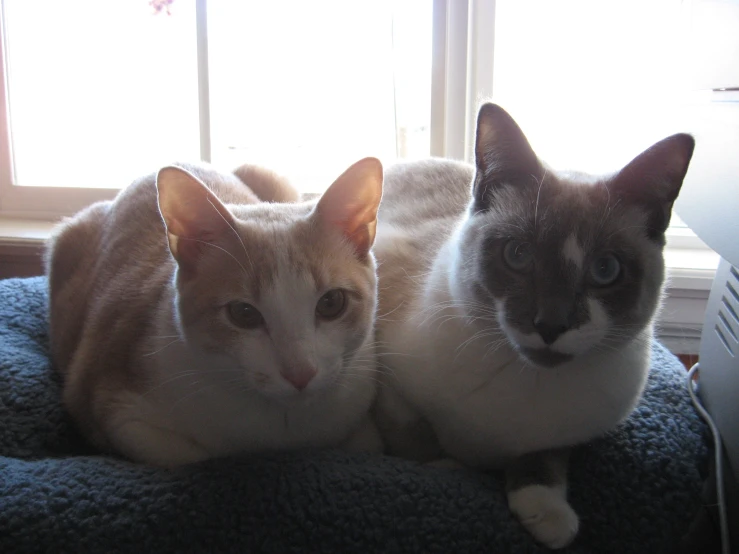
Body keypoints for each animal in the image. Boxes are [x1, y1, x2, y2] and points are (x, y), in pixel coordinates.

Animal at [45, 157, 384, 464]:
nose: (300, 373)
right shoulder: (107, 402)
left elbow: (365, 441)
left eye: (331, 303)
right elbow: (194, 456)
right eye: (243, 313)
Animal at [376, 103, 692, 548]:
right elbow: (416, 442)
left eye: (605, 270)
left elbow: (543, 458)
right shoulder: (391, 385)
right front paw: (447, 468)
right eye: (518, 254)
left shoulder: (567, 436)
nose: (551, 324)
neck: (525, 381)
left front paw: (548, 514)